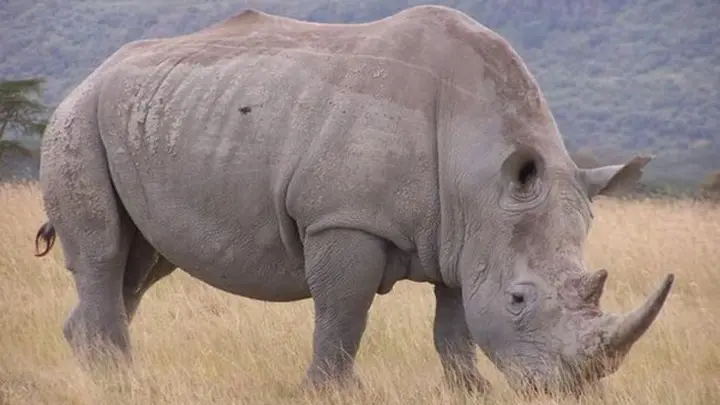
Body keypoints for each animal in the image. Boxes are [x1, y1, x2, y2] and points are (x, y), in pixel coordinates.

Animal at [33, 4, 674, 395]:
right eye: (519, 299)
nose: (567, 391)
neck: (480, 173)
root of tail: (92, 73)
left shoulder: (466, 235)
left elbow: (455, 325)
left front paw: (470, 392)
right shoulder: (344, 221)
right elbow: (343, 313)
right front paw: (328, 393)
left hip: (144, 116)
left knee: (141, 265)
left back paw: (97, 375)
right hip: (76, 119)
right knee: (104, 254)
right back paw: (122, 382)